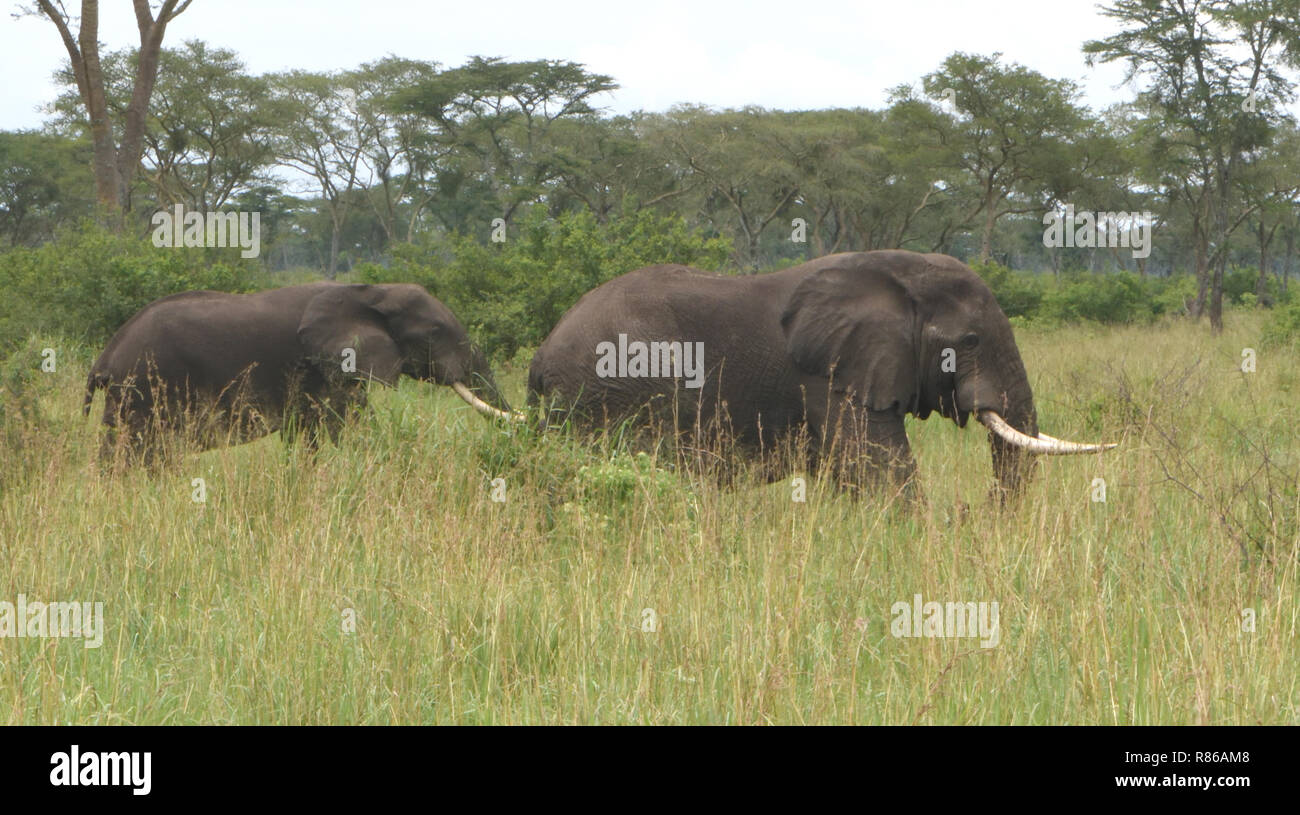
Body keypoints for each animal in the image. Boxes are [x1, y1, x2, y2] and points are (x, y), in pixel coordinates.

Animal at [82, 280, 522, 462]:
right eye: (434, 333)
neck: (371, 290)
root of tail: (104, 357)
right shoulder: (321, 365)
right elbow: (352, 427)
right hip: (142, 390)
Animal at [527, 250, 1118, 496]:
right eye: (970, 342)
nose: (979, 509)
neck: (898, 275)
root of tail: (541, 352)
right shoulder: (829, 373)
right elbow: (880, 468)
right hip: (613, 392)